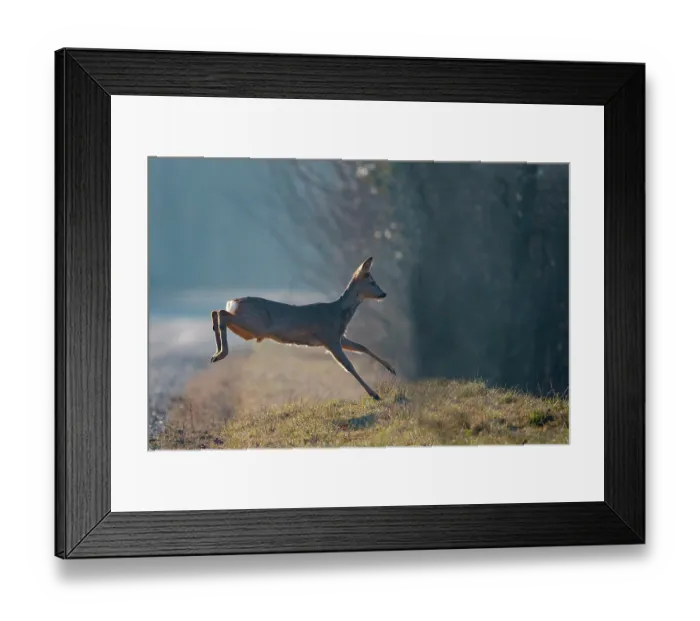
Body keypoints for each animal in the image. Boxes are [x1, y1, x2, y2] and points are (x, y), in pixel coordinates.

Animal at [209, 257, 396, 400]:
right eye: (372, 282)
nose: (384, 294)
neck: (338, 313)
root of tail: (232, 302)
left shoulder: (338, 337)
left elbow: (362, 347)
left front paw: (391, 369)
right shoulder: (329, 337)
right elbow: (348, 366)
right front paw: (374, 394)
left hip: (248, 329)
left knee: (217, 312)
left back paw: (216, 353)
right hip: (255, 325)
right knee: (222, 313)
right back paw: (220, 353)